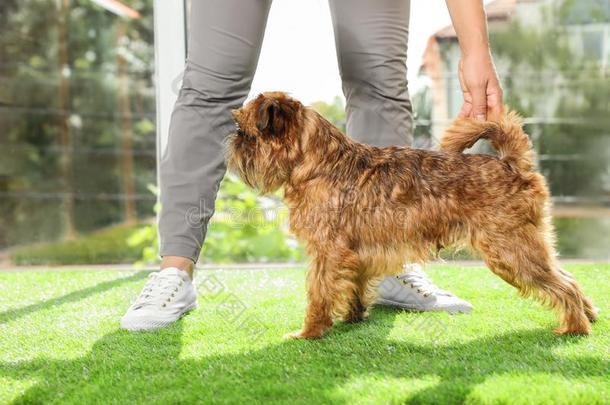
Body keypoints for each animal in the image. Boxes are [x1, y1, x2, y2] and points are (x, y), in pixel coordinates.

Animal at [227, 90, 592, 338]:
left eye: (246, 132)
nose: (232, 140)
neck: (319, 162)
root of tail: (511, 164)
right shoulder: (356, 254)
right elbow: (354, 286)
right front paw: (353, 317)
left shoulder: (326, 253)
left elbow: (318, 293)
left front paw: (310, 333)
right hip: (527, 244)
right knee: (567, 275)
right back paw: (589, 315)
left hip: (510, 250)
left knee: (563, 285)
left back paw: (575, 327)